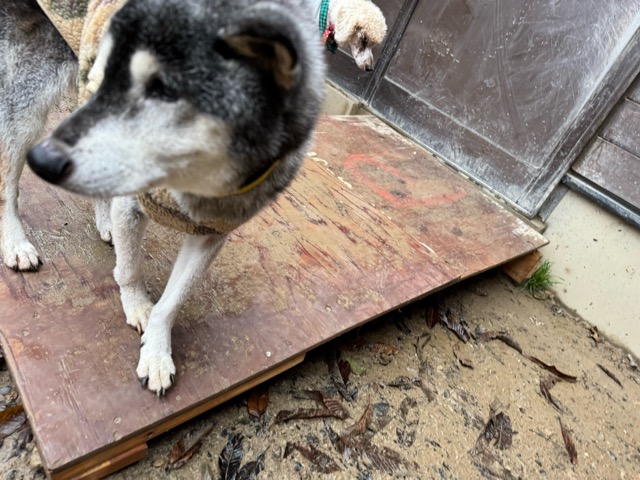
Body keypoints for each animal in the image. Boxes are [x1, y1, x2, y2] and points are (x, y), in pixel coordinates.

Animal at [2, 0, 325, 395]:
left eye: (165, 91)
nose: (45, 161)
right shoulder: (131, 203)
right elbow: (129, 270)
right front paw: (137, 306)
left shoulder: (211, 234)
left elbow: (173, 301)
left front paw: (156, 351)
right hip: (29, 113)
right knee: (8, 186)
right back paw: (16, 243)